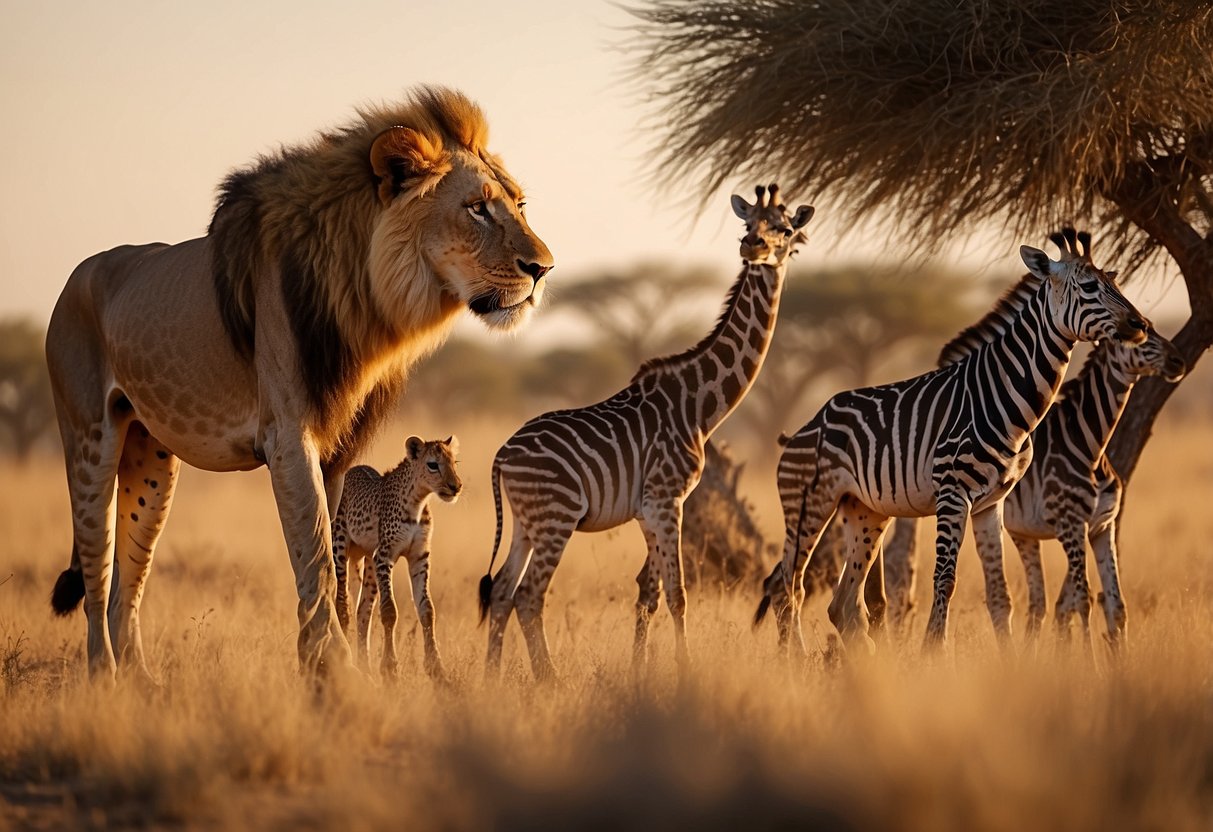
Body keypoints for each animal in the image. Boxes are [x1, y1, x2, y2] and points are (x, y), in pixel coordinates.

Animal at [46, 84, 555, 684]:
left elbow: (333, 557)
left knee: (130, 578)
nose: (544, 268)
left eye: (519, 205)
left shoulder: (338, 445)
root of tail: (73, 280)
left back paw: (144, 683)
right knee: (97, 569)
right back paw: (103, 678)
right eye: (477, 208)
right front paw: (333, 669)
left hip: (152, 460)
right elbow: (314, 552)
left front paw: (327, 664)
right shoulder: (287, 434)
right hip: (89, 440)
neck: (365, 298)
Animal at [477, 185, 810, 679]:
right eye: (748, 225)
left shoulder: (649, 509)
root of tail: (502, 452)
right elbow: (677, 594)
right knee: (528, 596)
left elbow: (647, 594)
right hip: (557, 518)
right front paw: (684, 670)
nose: (752, 248)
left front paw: (641, 671)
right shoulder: (667, 501)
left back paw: (493, 677)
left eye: (785, 230)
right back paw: (548, 680)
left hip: (525, 521)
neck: (698, 406)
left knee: (501, 591)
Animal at [752, 229, 1149, 659]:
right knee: (788, 586)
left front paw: (1009, 662)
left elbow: (1000, 592)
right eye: (1090, 287)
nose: (1141, 324)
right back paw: (796, 658)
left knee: (843, 605)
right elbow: (945, 577)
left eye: (1115, 284)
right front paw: (934, 652)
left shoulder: (992, 503)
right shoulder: (953, 492)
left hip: (865, 511)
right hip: (808, 504)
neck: (1002, 399)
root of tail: (800, 430)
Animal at [883, 325, 1183, 650]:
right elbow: (1083, 599)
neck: (1088, 443)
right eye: (1140, 335)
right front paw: (1089, 658)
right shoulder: (1070, 524)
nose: (1179, 361)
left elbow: (1116, 606)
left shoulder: (1103, 526)